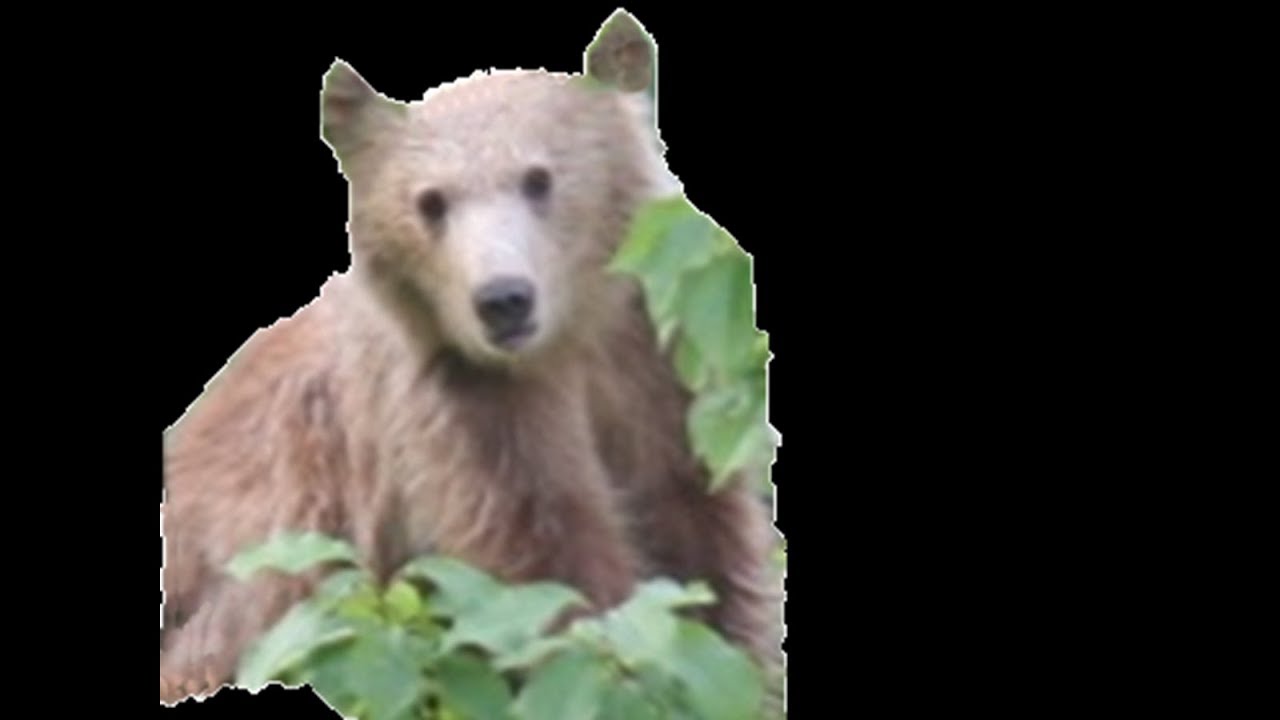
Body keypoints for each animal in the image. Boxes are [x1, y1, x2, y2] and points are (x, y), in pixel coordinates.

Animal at [160, 12, 780, 707]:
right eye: (431, 201)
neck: (567, 346)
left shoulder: (660, 380)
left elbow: (706, 539)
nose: (503, 299)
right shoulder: (470, 419)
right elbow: (548, 575)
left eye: (539, 177)